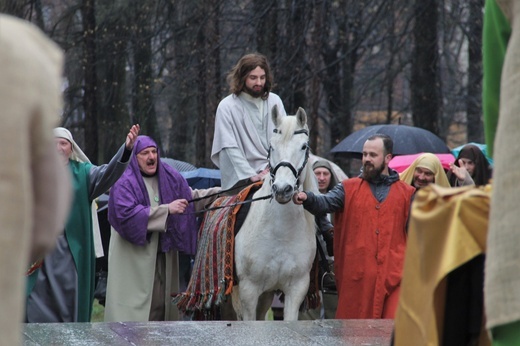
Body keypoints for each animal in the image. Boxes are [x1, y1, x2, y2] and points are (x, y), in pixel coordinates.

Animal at [232, 105, 316, 322]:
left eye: (304, 146)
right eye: (271, 147)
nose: (282, 189)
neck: (280, 233)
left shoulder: (296, 289)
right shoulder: (248, 291)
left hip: (267, 294)